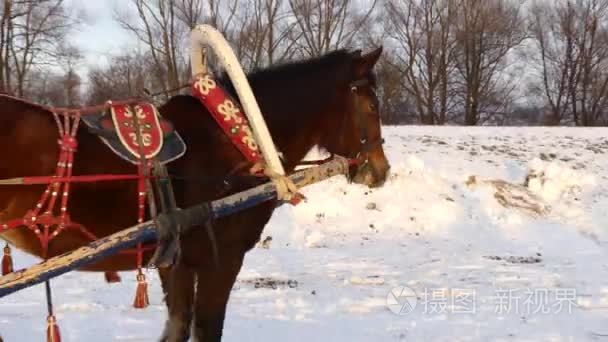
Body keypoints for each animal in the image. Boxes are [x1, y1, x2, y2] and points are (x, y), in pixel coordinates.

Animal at [0, 46, 390, 340]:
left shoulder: (176, 262)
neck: (237, 139)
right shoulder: (222, 259)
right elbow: (206, 328)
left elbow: (177, 327)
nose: (381, 169)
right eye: (372, 105)